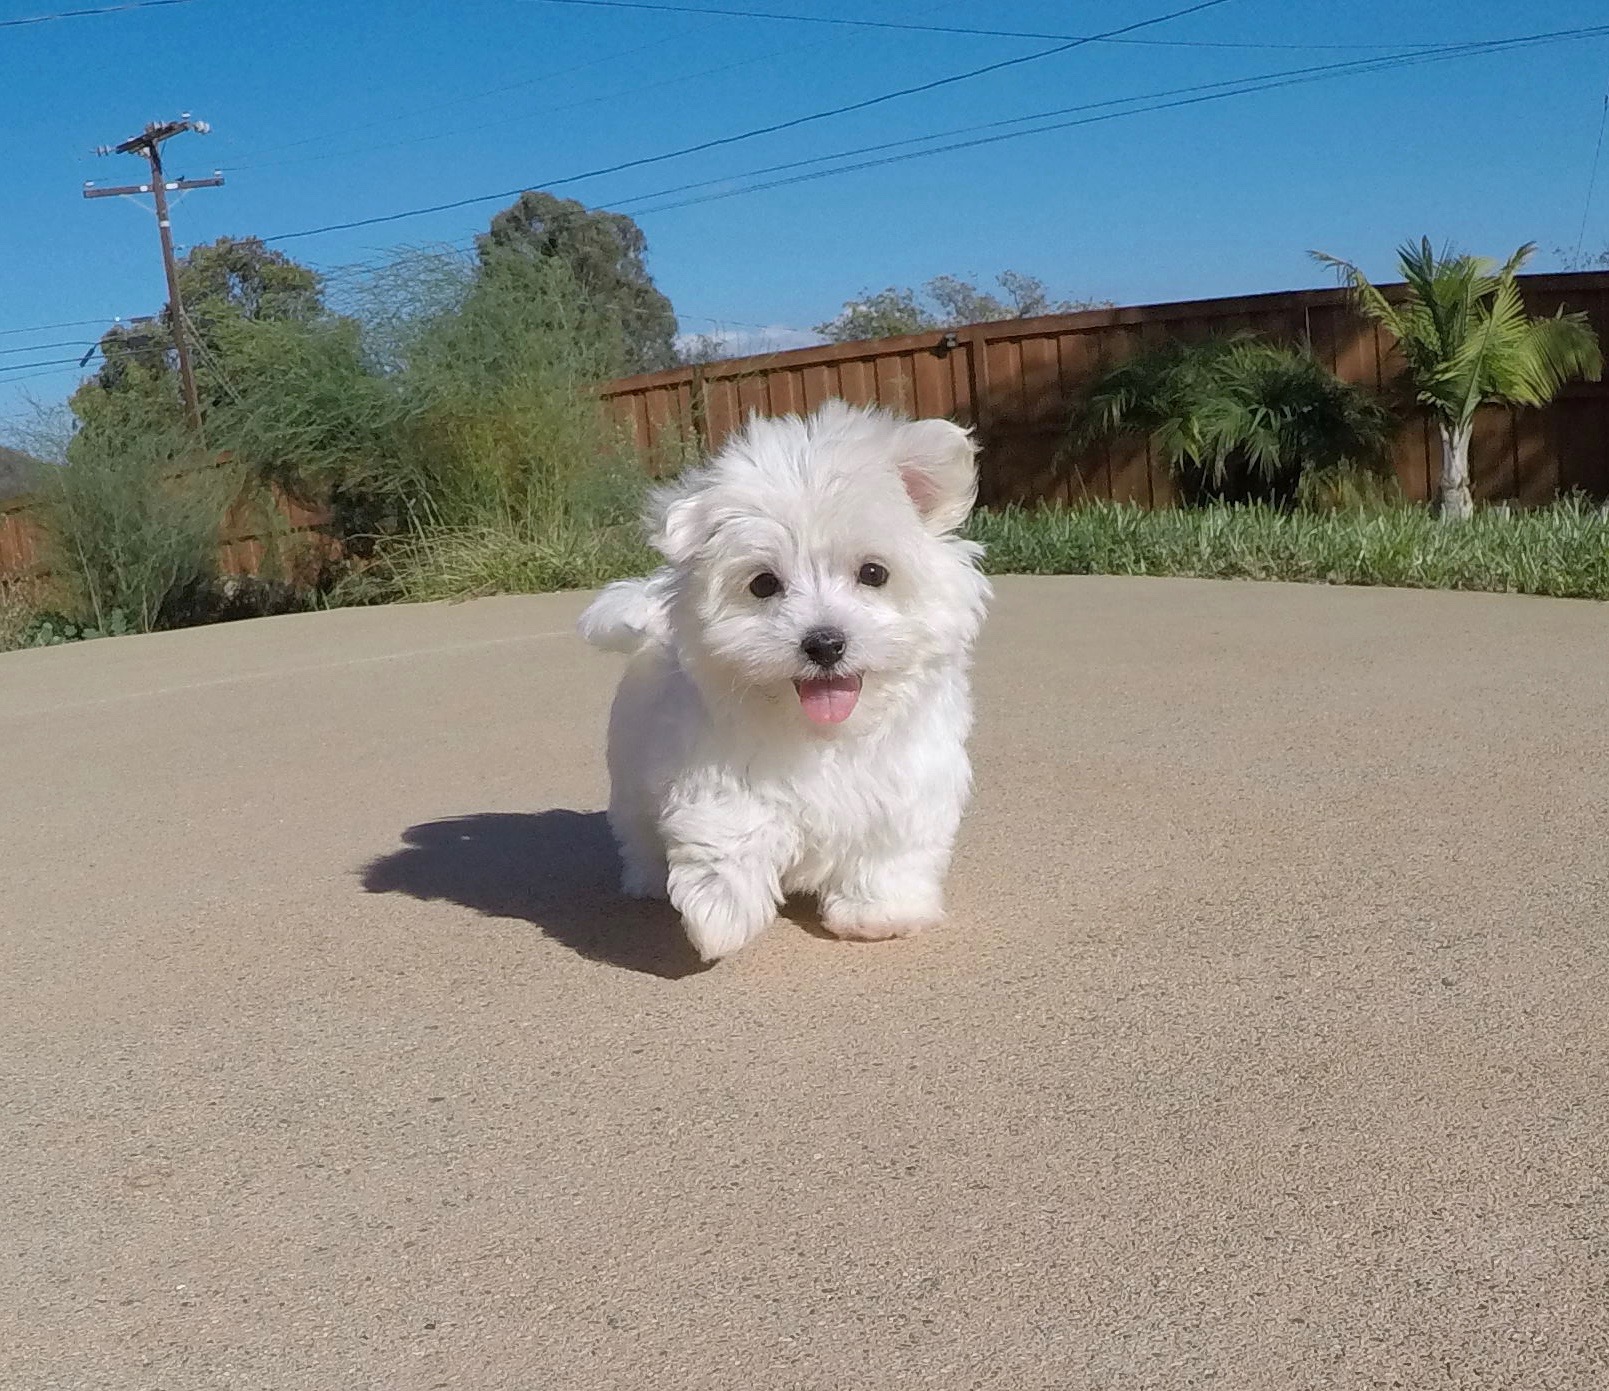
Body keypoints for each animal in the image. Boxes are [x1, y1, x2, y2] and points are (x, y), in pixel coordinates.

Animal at [572, 395, 984, 958]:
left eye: (873, 573)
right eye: (764, 584)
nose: (825, 643)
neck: (825, 733)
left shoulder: (906, 789)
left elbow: (888, 852)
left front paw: (878, 913)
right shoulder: (714, 768)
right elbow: (731, 828)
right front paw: (721, 915)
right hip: (630, 775)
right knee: (637, 831)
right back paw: (649, 880)